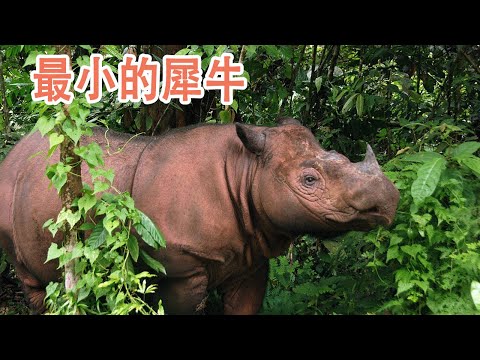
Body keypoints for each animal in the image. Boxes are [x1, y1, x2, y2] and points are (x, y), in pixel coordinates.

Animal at [0, 117, 400, 312]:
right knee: (35, 283)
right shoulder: (180, 269)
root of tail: (12, 155)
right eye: (309, 180)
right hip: (8, 197)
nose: (389, 201)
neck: (246, 170)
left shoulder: (251, 258)